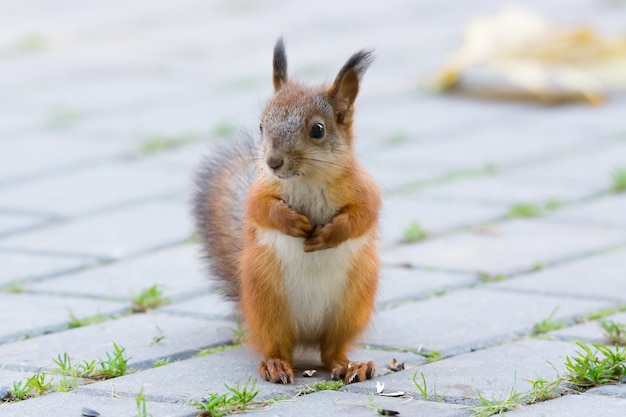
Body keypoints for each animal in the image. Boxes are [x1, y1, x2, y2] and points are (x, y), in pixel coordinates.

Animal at [193, 39, 380, 384]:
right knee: (277, 345)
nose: (272, 162)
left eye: (318, 129)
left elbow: (363, 217)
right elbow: (260, 210)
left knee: (331, 351)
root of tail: (307, 335)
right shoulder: (260, 190)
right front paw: (293, 223)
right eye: (261, 126)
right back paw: (276, 365)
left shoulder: (364, 190)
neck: (307, 178)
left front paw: (327, 235)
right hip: (266, 301)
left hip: (352, 306)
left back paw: (350, 366)